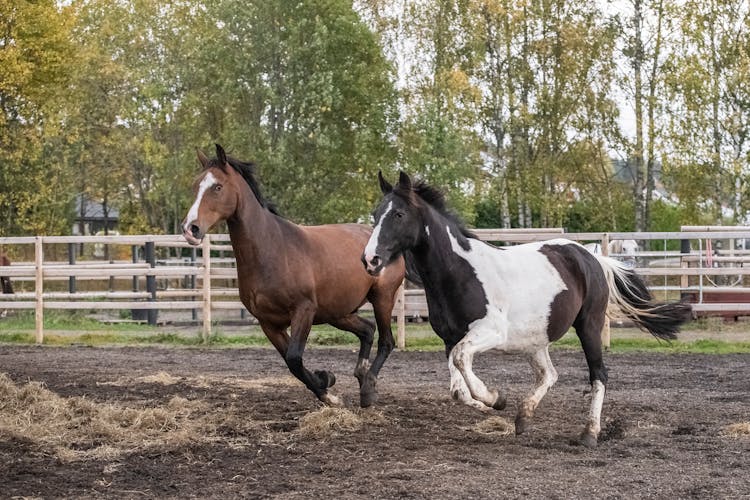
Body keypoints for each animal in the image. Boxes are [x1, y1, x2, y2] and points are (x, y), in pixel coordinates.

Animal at [182, 144, 406, 406]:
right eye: (195, 185)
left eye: (217, 187)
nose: (190, 229)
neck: (272, 250)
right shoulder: (268, 323)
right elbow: (291, 363)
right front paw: (325, 381)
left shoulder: (303, 310)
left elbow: (294, 358)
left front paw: (328, 390)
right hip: (337, 312)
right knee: (367, 330)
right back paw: (361, 376)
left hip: (382, 298)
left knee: (386, 341)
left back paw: (368, 388)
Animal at [362, 174, 692, 448]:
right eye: (376, 215)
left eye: (399, 214)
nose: (370, 259)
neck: (459, 271)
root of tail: (593, 259)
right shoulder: (449, 339)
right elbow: (458, 387)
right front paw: (492, 402)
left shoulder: (490, 331)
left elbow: (462, 362)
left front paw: (495, 398)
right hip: (535, 340)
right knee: (549, 374)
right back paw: (523, 417)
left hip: (589, 326)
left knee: (599, 374)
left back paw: (589, 434)